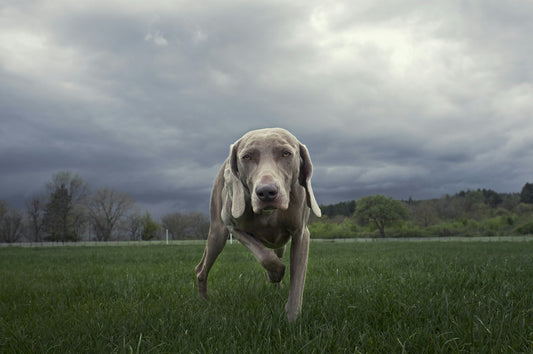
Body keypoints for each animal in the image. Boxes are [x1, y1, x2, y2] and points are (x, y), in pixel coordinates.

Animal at [195, 127, 320, 320]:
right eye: (246, 156)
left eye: (286, 153)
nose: (266, 192)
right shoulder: (232, 225)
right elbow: (264, 256)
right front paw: (274, 273)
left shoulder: (300, 233)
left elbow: (298, 277)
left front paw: (292, 318)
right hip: (217, 232)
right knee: (201, 269)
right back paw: (203, 301)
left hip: (280, 243)